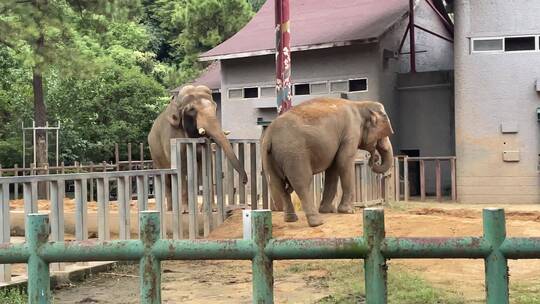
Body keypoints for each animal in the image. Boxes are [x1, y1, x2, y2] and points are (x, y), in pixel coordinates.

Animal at [260, 96, 392, 227]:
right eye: (383, 134)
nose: (374, 158)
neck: (360, 104)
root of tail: (269, 135)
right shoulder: (351, 132)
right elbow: (344, 162)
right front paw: (348, 211)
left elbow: (333, 168)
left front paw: (327, 210)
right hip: (294, 153)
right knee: (302, 183)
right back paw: (317, 222)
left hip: (268, 156)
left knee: (278, 184)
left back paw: (291, 219)